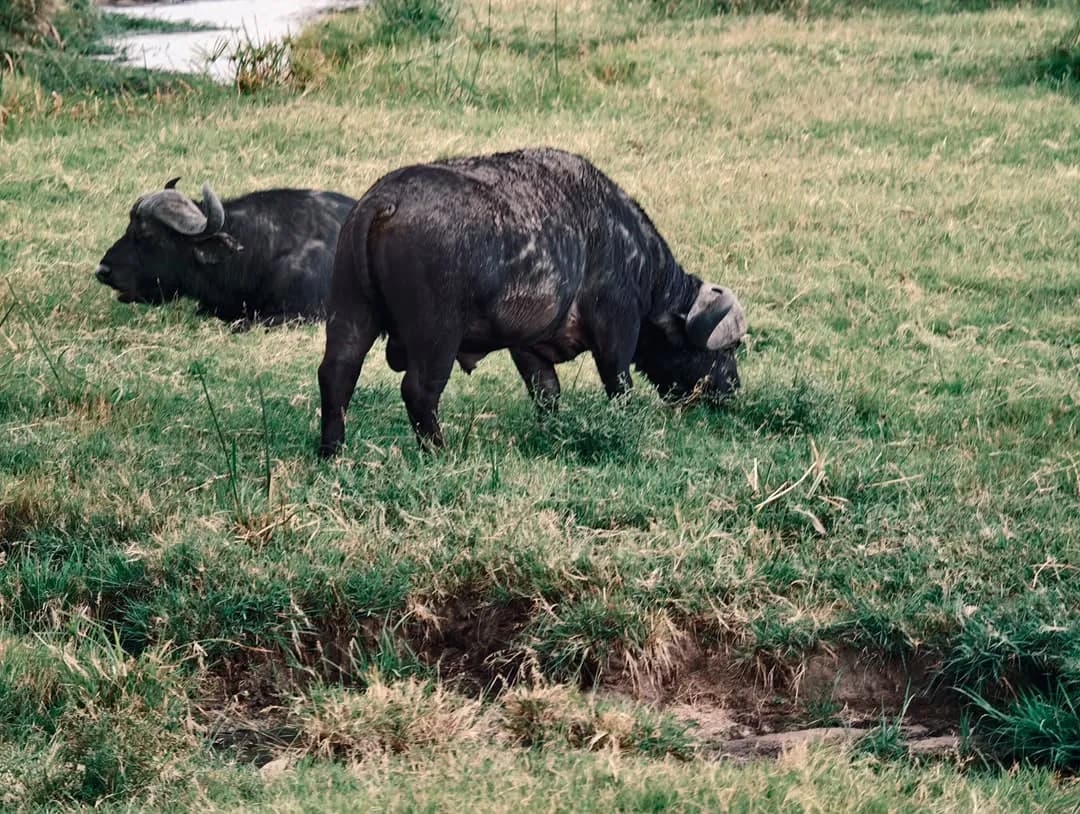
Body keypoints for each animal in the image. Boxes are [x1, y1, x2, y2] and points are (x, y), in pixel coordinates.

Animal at [318, 147, 747, 455]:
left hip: (351, 312)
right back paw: (439, 451)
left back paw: (333, 450)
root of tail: (384, 201)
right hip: (436, 333)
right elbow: (619, 383)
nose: (732, 390)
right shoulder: (617, 324)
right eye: (727, 350)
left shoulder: (529, 347)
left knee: (337, 372)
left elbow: (546, 393)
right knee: (419, 390)